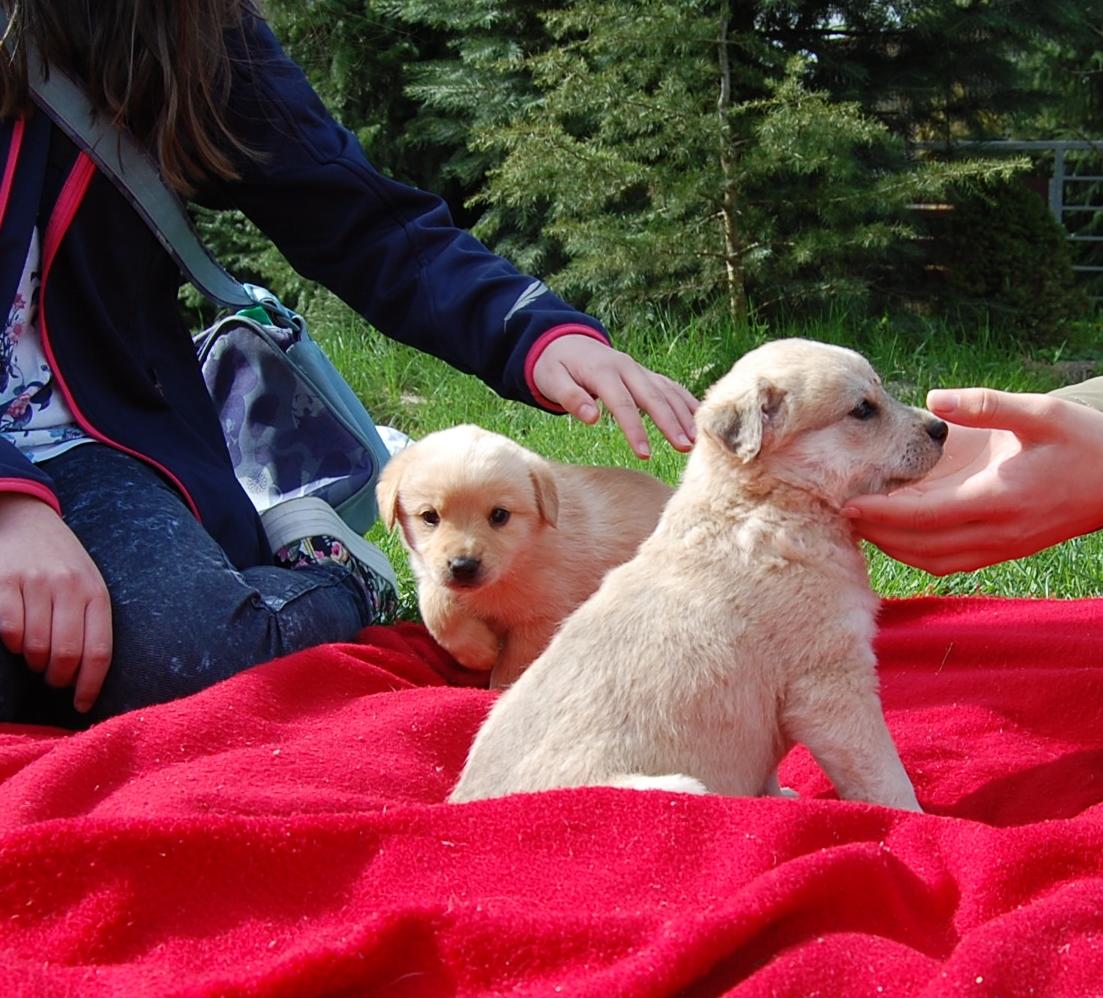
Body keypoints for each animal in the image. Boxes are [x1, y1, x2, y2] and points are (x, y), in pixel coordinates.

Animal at [376, 424, 673, 687]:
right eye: (430, 516)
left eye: (499, 515)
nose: (463, 566)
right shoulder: (430, 575)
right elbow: (437, 610)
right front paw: (481, 652)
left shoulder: (541, 618)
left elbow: (513, 666)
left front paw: (496, 686)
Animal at [450, 338, 947, 810]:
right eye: (863, 409)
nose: (941, 429)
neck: (763, 503)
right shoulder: (830, 682)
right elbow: (881, 771)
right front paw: (916, 815)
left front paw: (777, 797)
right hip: (676, 786)